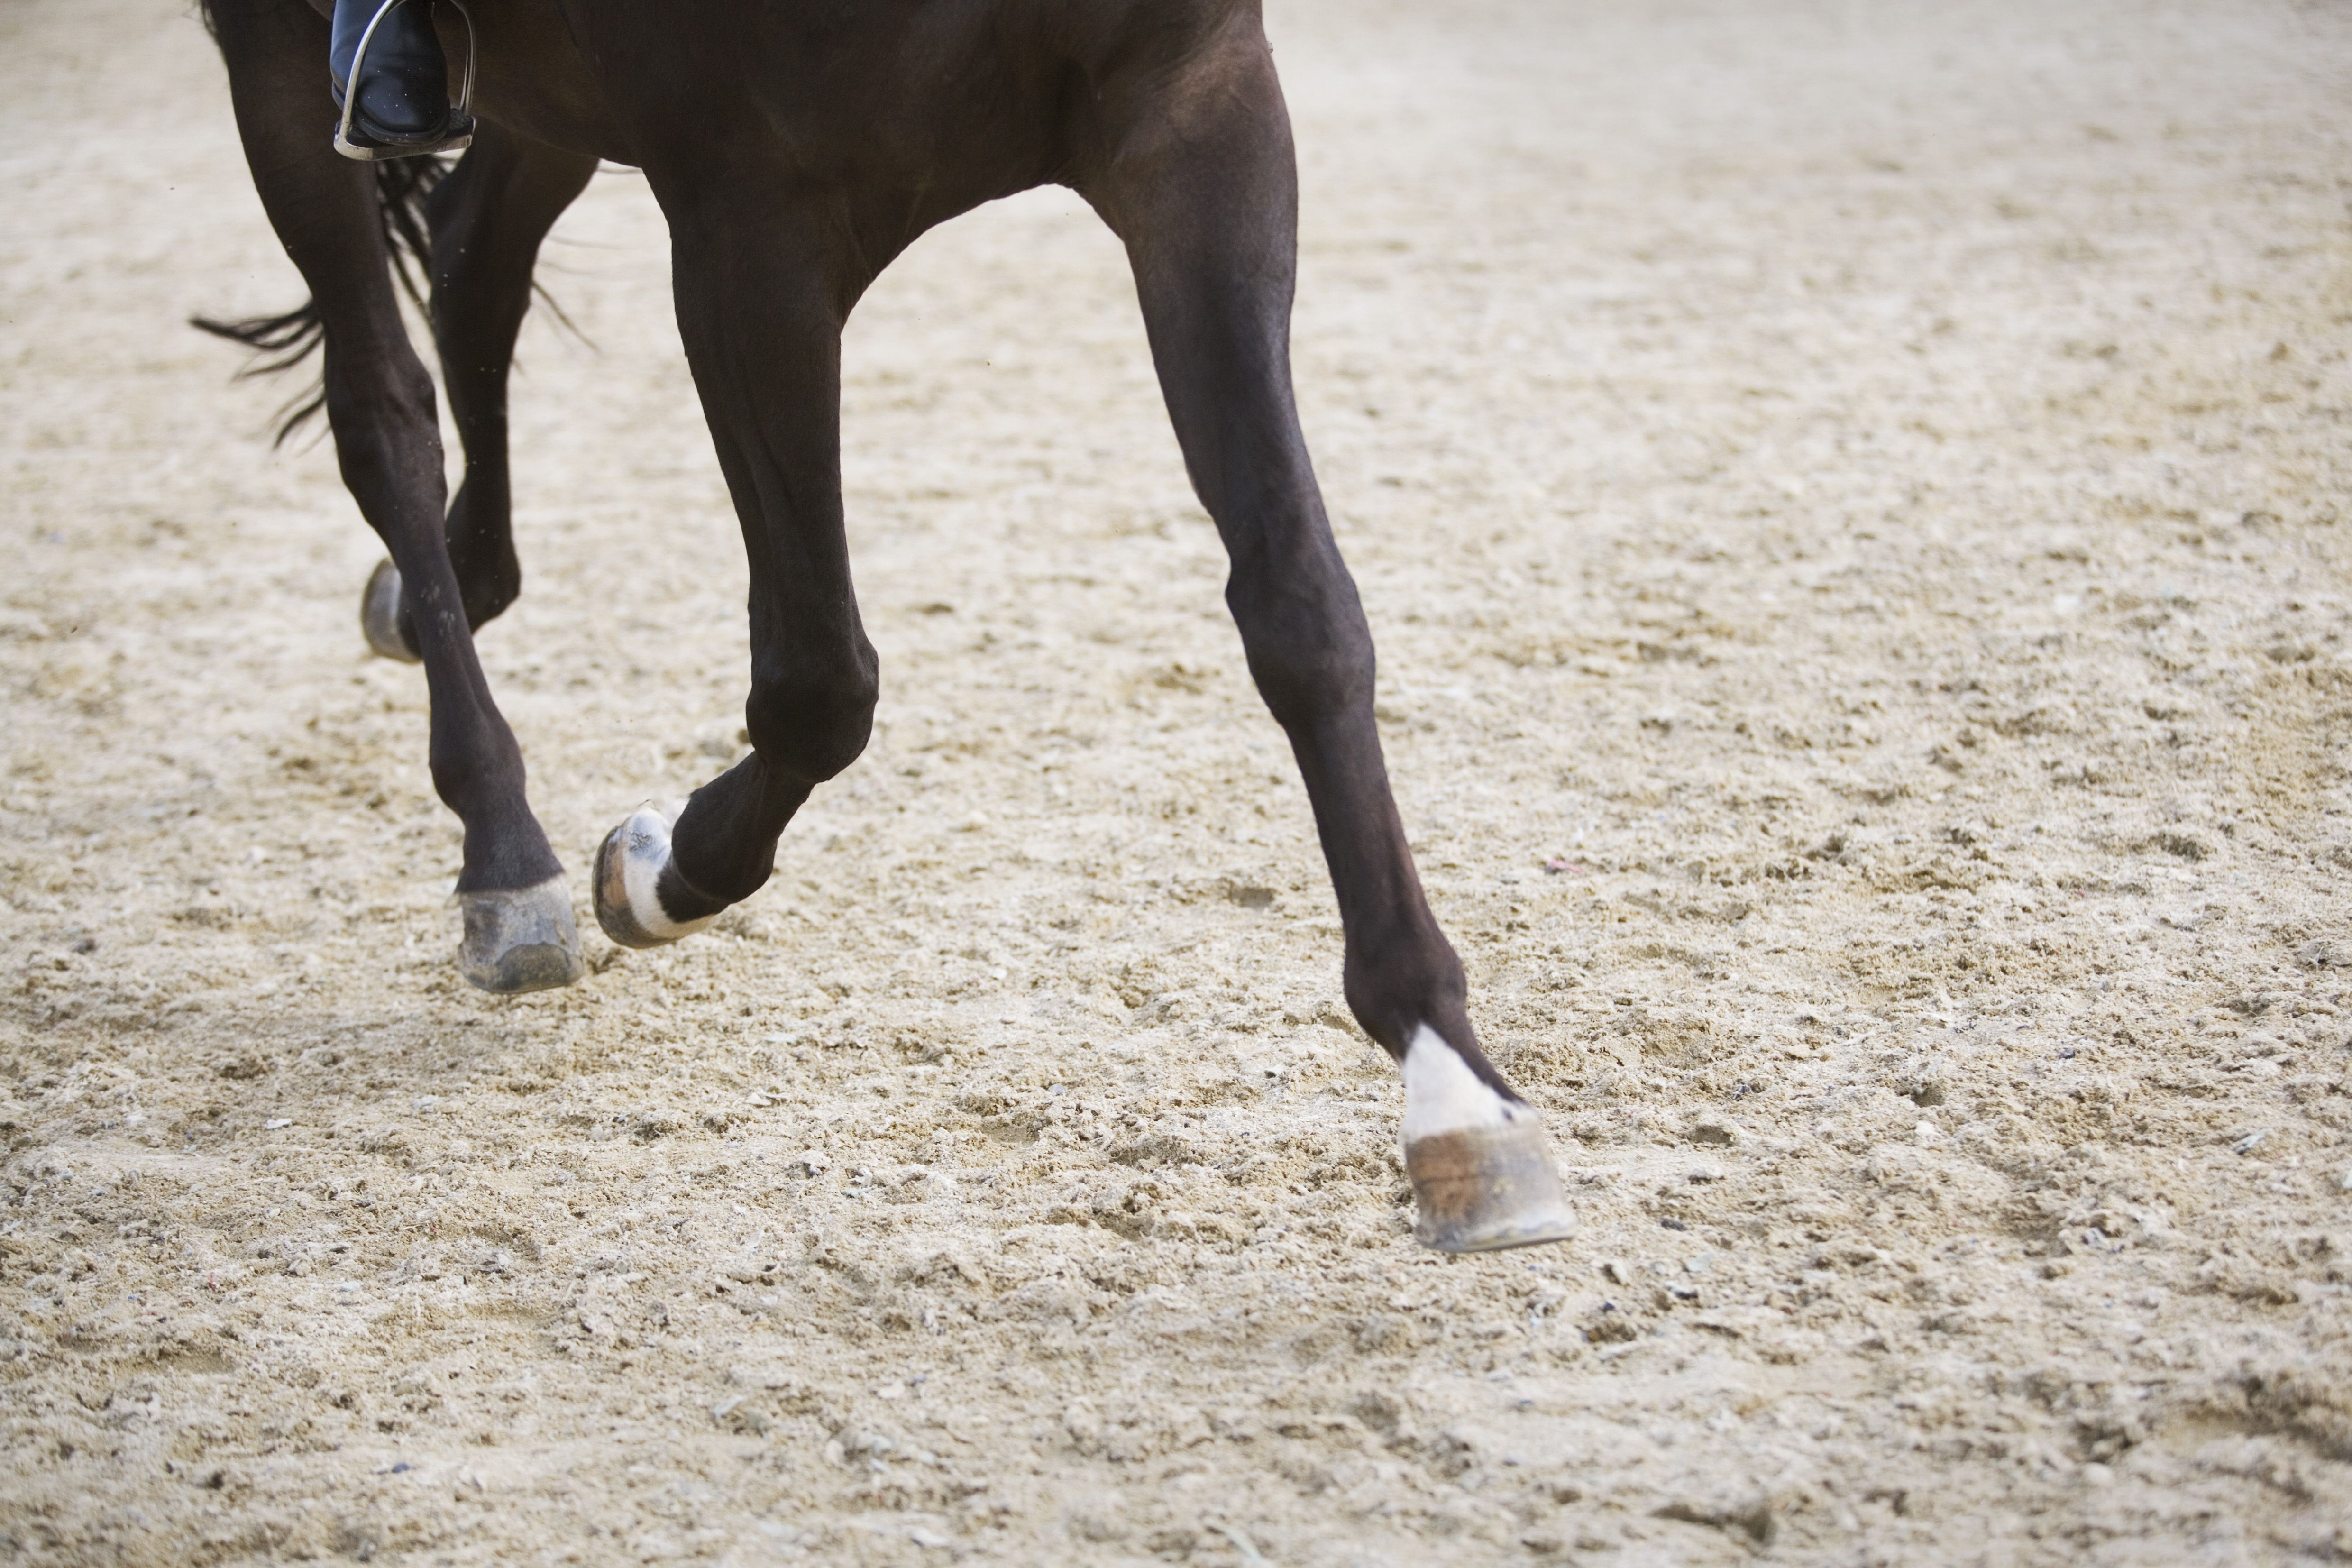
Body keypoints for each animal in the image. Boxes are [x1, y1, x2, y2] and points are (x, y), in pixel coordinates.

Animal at [192, 0, 1571, 1250]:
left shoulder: (1196, 117)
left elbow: (1300, 609)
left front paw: (1452, 1083)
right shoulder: (751, 221)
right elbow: (819, 681)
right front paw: (661, 869)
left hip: (542, 107)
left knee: (473, 266)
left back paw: (448, 594)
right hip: (280, 63)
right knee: (384, 407)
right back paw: (503, 852)